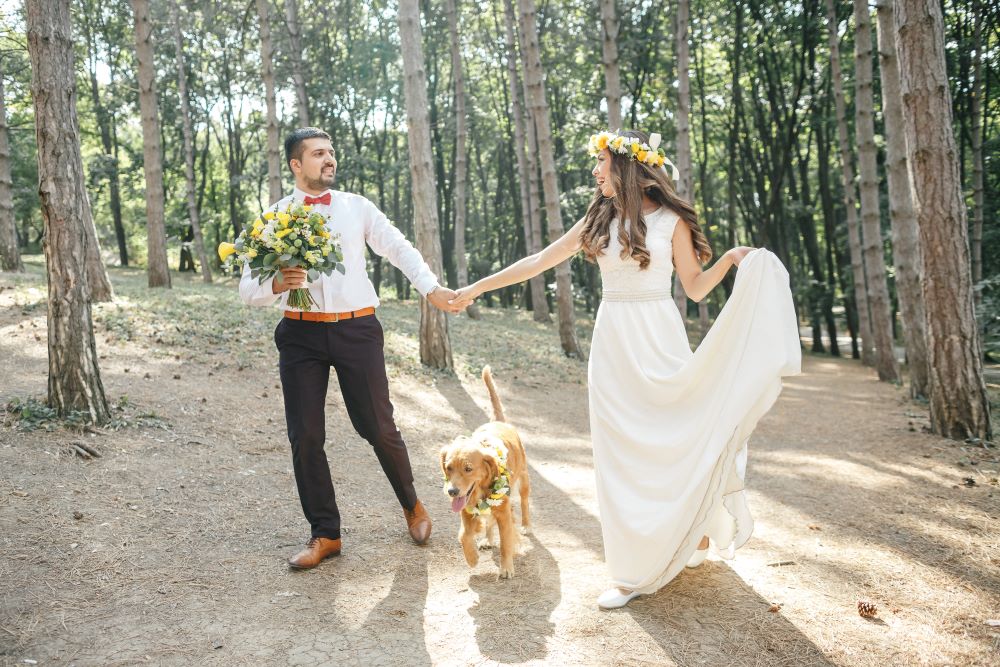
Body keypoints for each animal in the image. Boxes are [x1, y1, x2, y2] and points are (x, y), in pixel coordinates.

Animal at [440, 366, 532, 580]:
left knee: (524, 502)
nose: (452, 492)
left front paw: (506, 568)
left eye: (468, 468)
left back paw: (525, 525)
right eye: (449, 467)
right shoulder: (466, 508)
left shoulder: (504, 513)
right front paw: (471, 557)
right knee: (489, 520)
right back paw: (487, 539)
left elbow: (506, 543)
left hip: (523, 479)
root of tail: (498, 421)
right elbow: (464, 535)